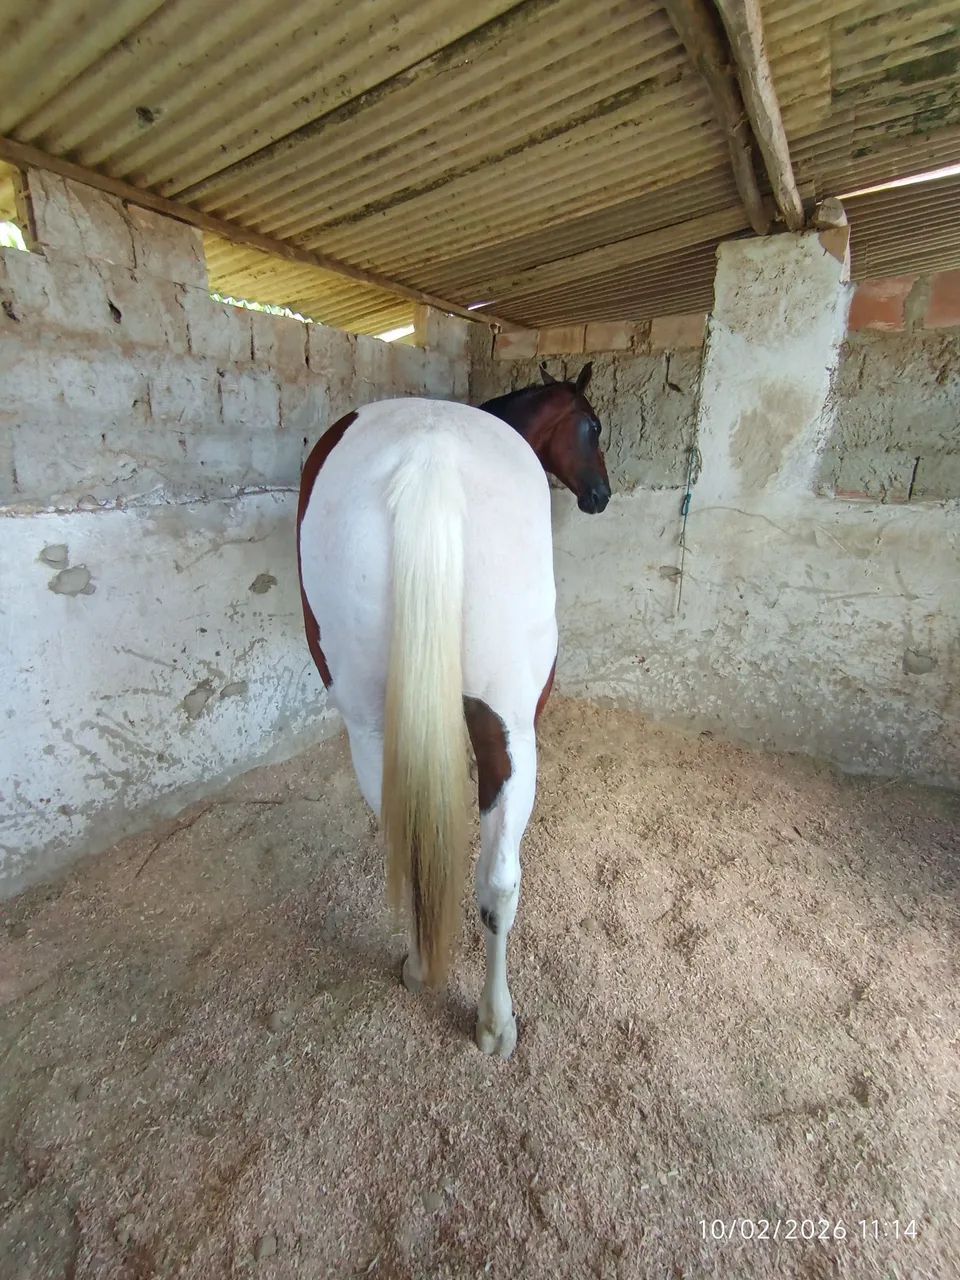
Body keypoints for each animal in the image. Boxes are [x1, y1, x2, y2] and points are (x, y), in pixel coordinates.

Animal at [297, 361, 610, 1058]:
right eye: (594, 425)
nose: (602, 495)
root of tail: (429, 452)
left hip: (370, 725)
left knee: (411, 845)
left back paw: (419, 968)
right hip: (511, 727)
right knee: (499, 881)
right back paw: (495, 1021)